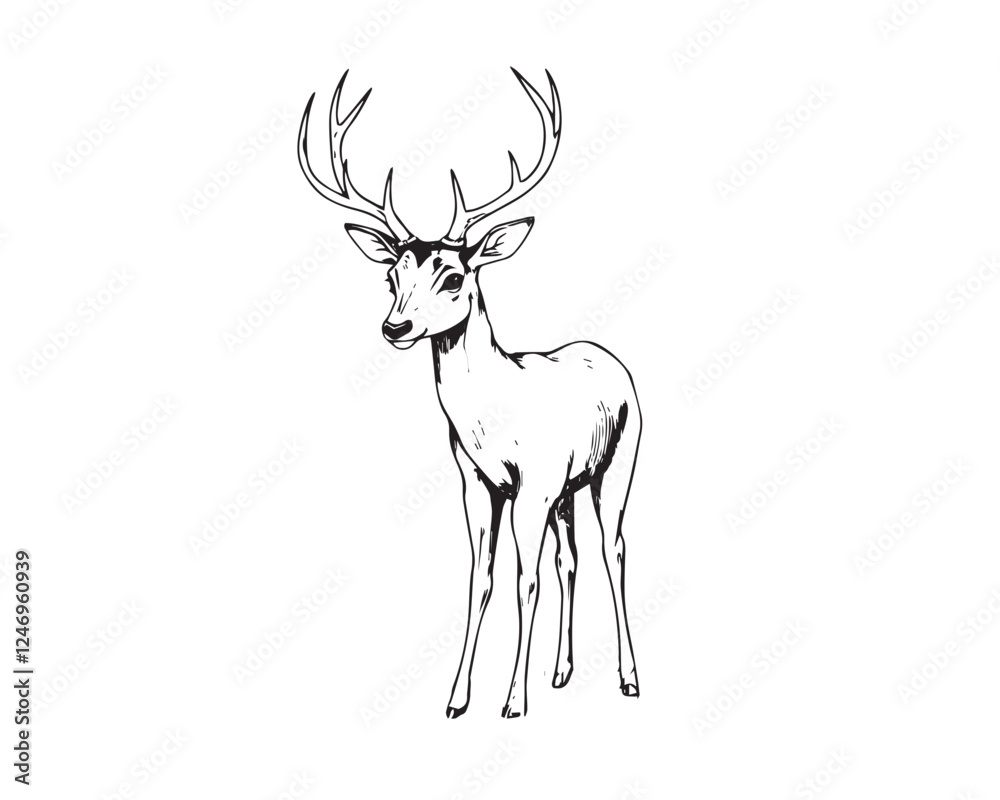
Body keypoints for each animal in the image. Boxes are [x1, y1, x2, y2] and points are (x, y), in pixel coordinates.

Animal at [298, 68, 641, 718]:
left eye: (454, 276)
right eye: (392, 276)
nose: (396, 327)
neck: (493, 419)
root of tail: (613, 360)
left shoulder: (532, 484)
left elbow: (524, 580)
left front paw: (513, 701)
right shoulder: (478, 480)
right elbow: (481, 578)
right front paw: (458, 698)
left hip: (616, 465)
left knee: (613, 550)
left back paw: (629, 678)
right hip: (568, 491)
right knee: (571, 558)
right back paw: (562, 672)